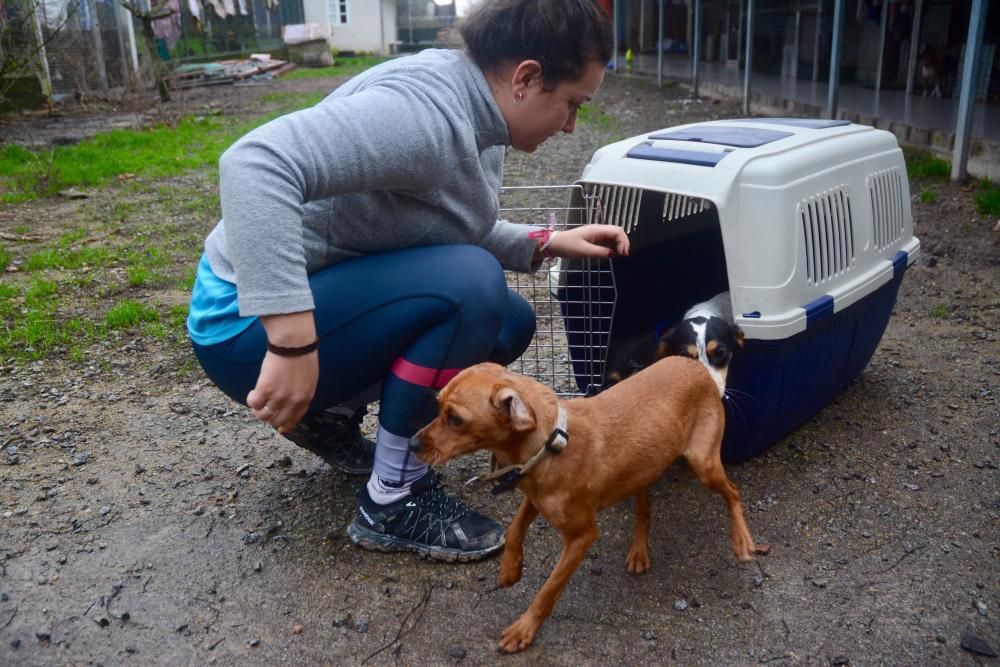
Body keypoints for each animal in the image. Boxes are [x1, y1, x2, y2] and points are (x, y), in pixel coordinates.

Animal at [410, 358, 768, 656]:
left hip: (703, 464)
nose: (412, 444)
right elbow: (513, 529)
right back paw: (639, 550)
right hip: (640, 469)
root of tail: (696, 366)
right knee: (645, 508)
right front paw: (510, 568)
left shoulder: (581, 537)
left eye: (455, 419)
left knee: (733, 493)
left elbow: (549, 589)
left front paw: (524, 628)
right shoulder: (533, 497)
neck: (550, 443)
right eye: (438, 407)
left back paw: (742, 540)